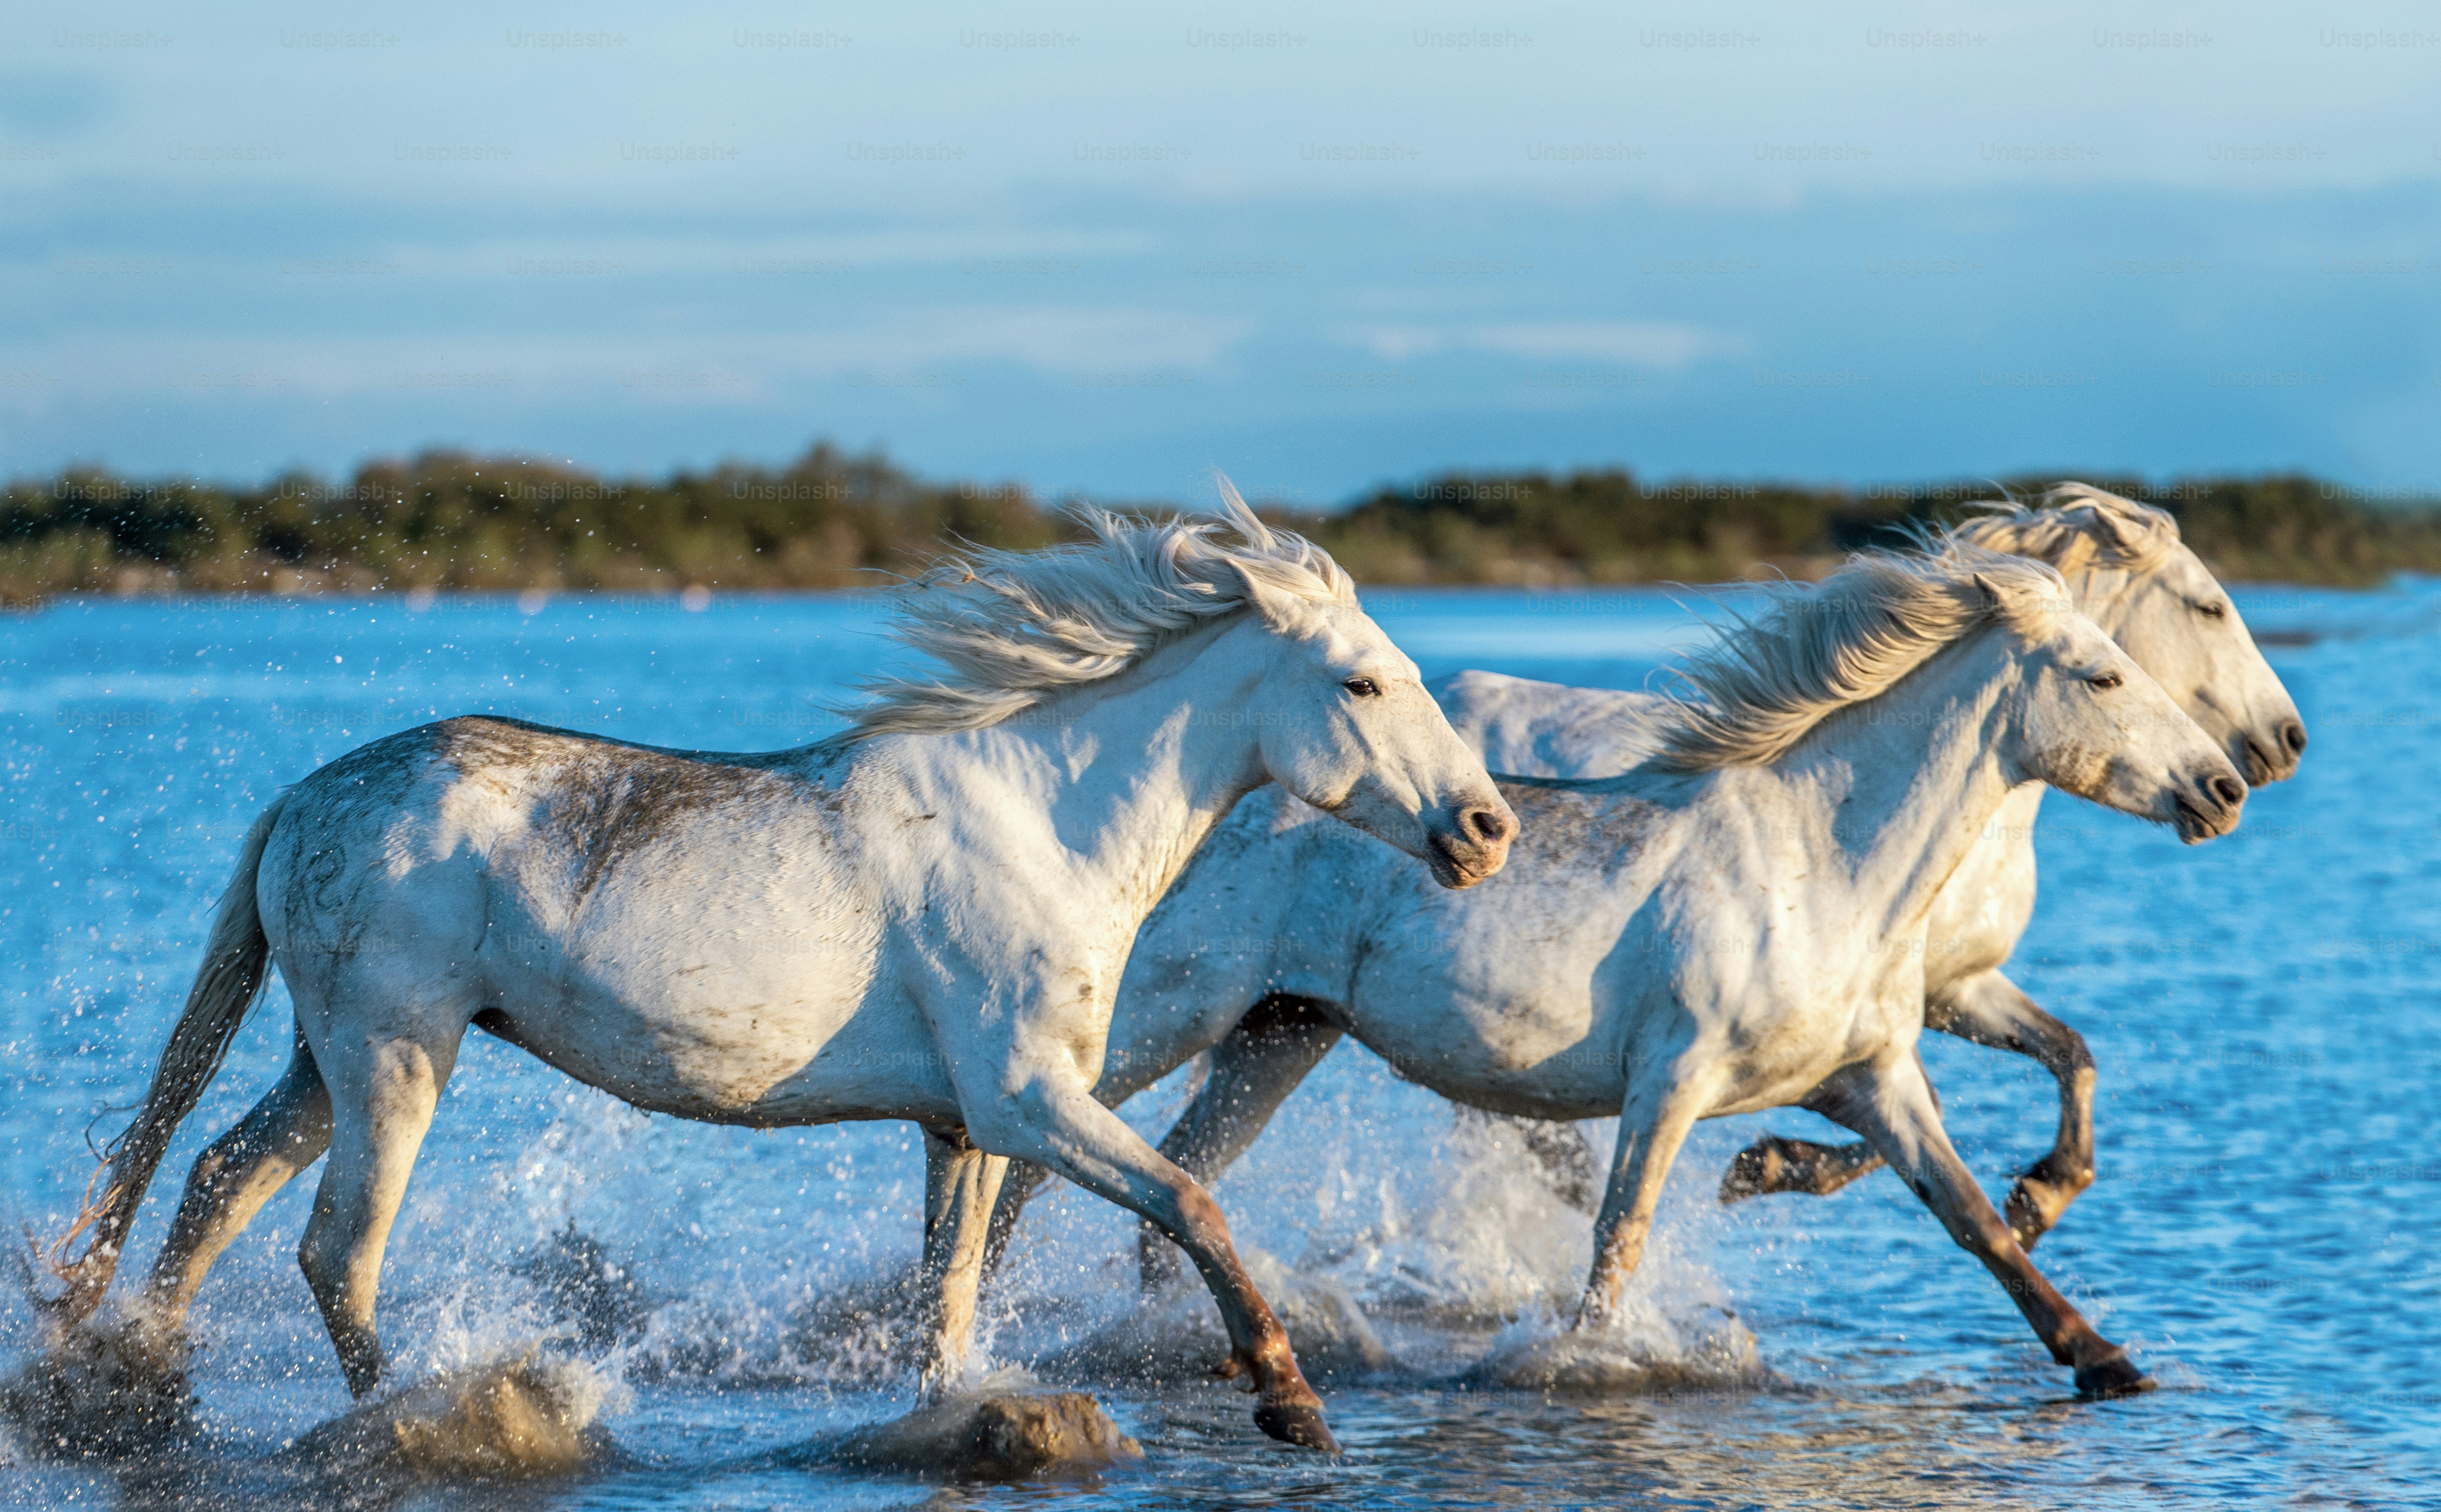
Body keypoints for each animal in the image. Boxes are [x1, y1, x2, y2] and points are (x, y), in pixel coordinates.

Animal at [37, 492, 1517, 1453]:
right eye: (1363, 684)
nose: (1487, 829)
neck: (1048, 820)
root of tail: (298, 796)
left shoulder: (961, 1123)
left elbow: (949, 1299)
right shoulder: (1029, 1097)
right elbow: (1191, 1203)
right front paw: (1290, 1401)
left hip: (326, 1053)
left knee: (217, 1180)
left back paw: (139, 1386)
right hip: (399, 1053)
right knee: (335, 1247)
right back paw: (411, 1419)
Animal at [982, 540, 2247, 1396]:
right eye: (2102, 676)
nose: (2227, 786)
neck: (1824, 864)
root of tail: (1211, 800)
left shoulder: (1876, 1077)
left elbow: (1976, 1218)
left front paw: (2105, 1358)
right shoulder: (1672, 1080)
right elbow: (1618, 1234)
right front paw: (1586, 1361)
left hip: (1281, 1032)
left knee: (1167, 1180)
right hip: (1174, 1012)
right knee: (1037, 1152)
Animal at [1435, 484, 2302, 1243]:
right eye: (2209, 606)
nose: (2283, 742)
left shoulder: (1958, 987)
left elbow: (2069, 1055)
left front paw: (2036, 1198)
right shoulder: (1902, 1003)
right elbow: (1934, 1105)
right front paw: (1767, 1165)